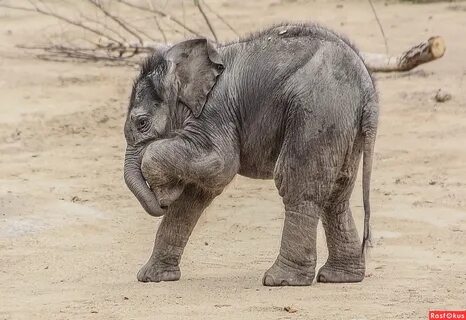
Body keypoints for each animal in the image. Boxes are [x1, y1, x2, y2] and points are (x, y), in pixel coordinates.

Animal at [124, 23, 378, 288]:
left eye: (142, 123)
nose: (161, 201)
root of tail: (367, 91)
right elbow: (196, 194)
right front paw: (151, 278)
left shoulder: (215, 110)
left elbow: (221, 164)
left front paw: (166, 192)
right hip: (345, 125)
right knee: (336, 194)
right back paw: (339, 277)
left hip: (318, 112)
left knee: (297, 185)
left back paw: (281, 280)